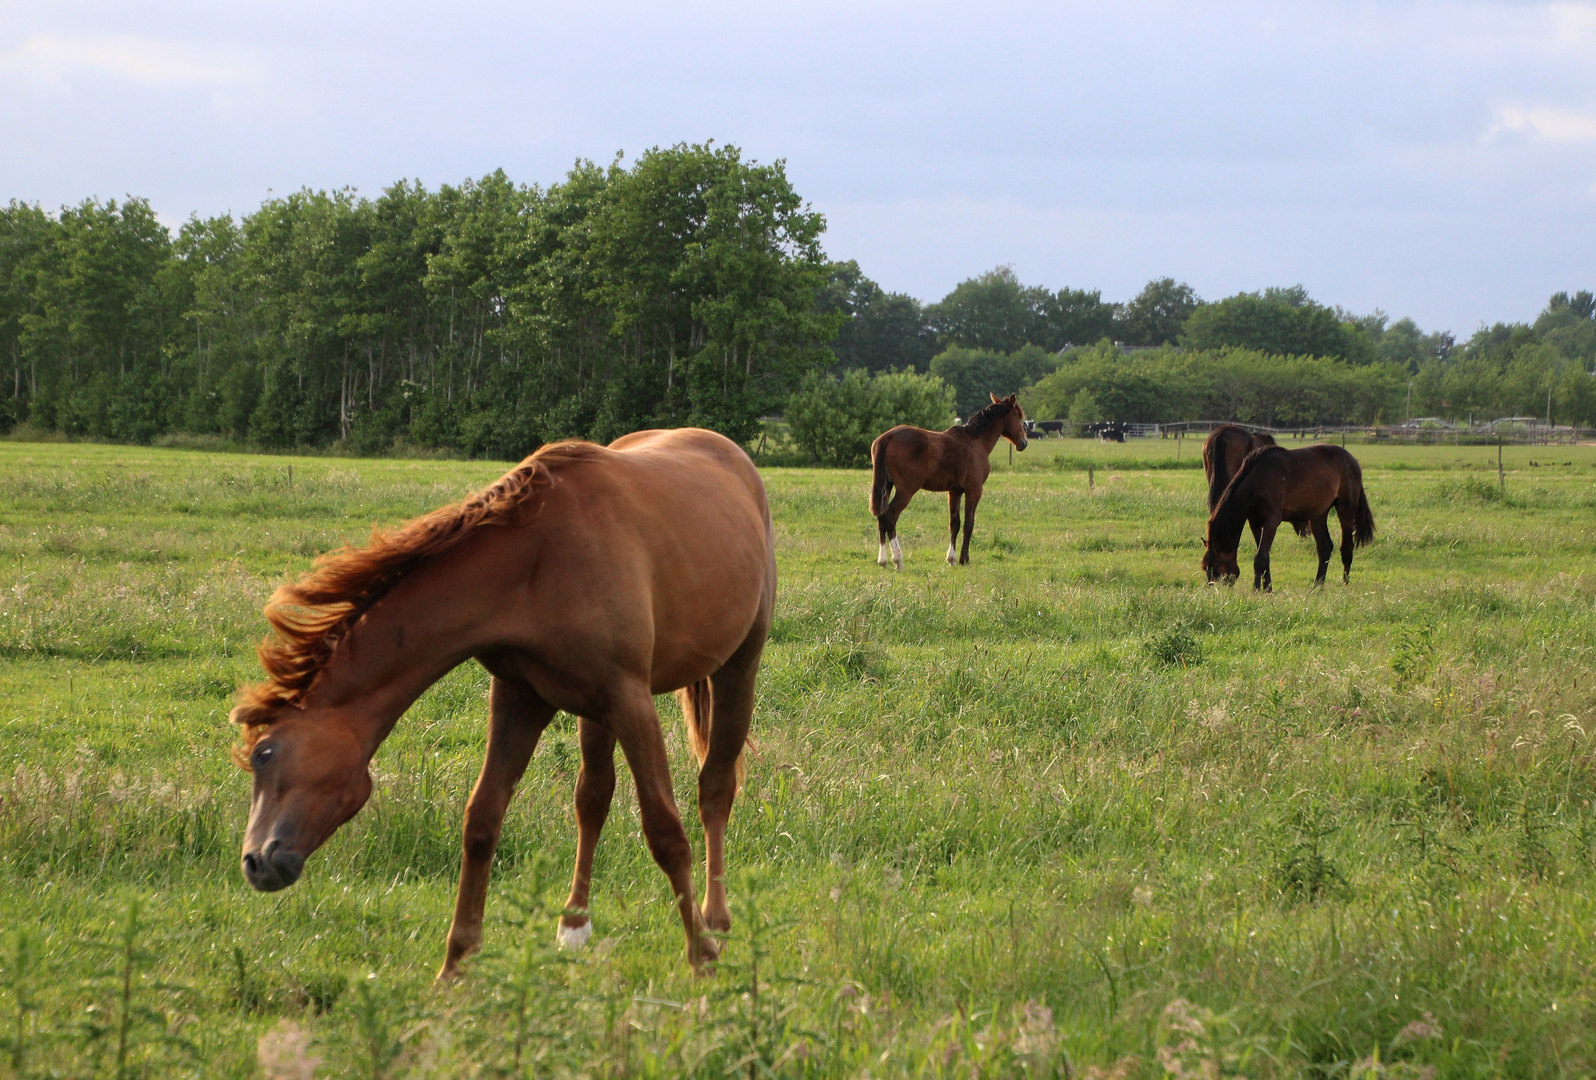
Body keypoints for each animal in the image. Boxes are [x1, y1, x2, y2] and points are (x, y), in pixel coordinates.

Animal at [229, 430, 772, 976]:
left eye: (264, 753)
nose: (255, 862)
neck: (536, 562)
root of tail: (727, 450)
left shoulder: (630, 699)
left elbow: (665, 831)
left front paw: (702, 959)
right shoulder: (519, 697)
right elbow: (483, 820)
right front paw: (455, 965)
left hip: (735, 670)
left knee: (715, 789)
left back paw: (716, 920)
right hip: (594, 714)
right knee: (593, 797)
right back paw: (575, 923)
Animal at [868, 392, 1027, 567]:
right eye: (1019, 416)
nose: (1023, 443)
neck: (976, 441)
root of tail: (888, 437)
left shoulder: (954, 491)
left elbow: (954, 523)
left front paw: (951, 558)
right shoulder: (974, 491)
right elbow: (968, 523)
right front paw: (964, 558)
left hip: (887, 486)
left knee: (882, 516)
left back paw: (882, 560)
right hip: (906, 490)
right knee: (890, 517)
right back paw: (898, 559)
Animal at [1200, 440, 1378, 587]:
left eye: (1213, 570)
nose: (1213, 589)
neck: (1258, 481)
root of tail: (1352, 460)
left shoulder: (1271, 522)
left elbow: (1260, 559)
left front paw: (1256, 590)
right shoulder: (1255, 522)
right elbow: (1265, 557)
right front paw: (1267, 588)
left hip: (1346, 508)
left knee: (1346, 547)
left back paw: (1344, 584)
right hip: (1318, 515)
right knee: (1325, 548)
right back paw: (1317, 585)